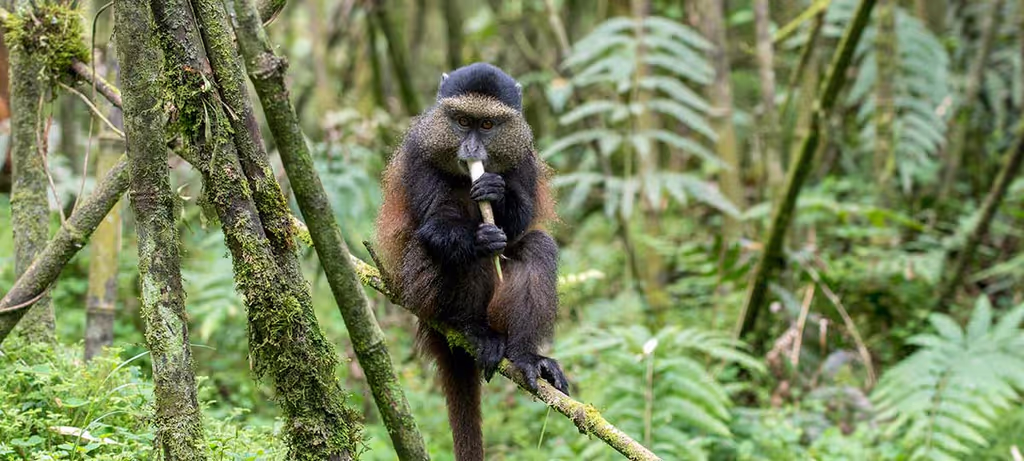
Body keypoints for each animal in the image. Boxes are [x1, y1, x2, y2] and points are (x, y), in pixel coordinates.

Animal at [375, 62, 569, 460]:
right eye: (463, 122)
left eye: (488, 125)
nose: (472, 149)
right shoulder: (419, 153)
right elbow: (436, 226)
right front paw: (481, 239)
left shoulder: (523, 155)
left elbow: (520, 224)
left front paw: (496, 191)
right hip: (421, 294)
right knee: (451, 254)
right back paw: (469, 328)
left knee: (537, 246)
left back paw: (526, 357)